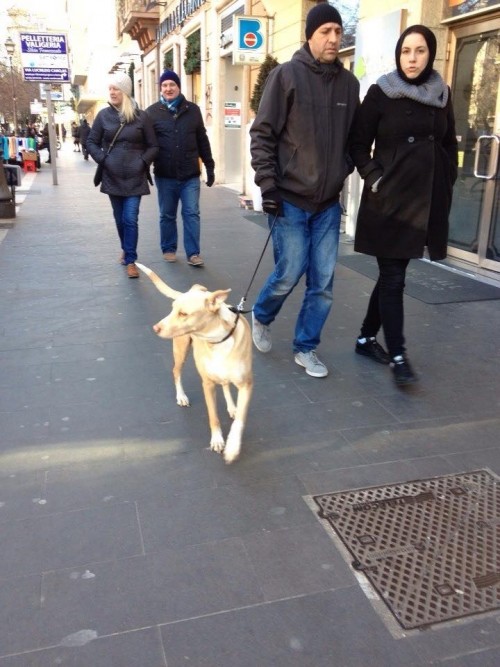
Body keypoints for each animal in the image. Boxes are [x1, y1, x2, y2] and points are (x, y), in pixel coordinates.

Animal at [136, 262, 252, 464]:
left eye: (183, 313)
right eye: (172, 309)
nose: (156, 328)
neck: (218, 341)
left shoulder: (246, 384)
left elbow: (240, 420)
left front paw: (232, 446)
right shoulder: (207, 384)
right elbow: (213, 416)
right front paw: (217, 440)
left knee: (225, 384)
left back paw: (231, 407)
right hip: (181, 350)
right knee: (176, 372)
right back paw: (181, 397)